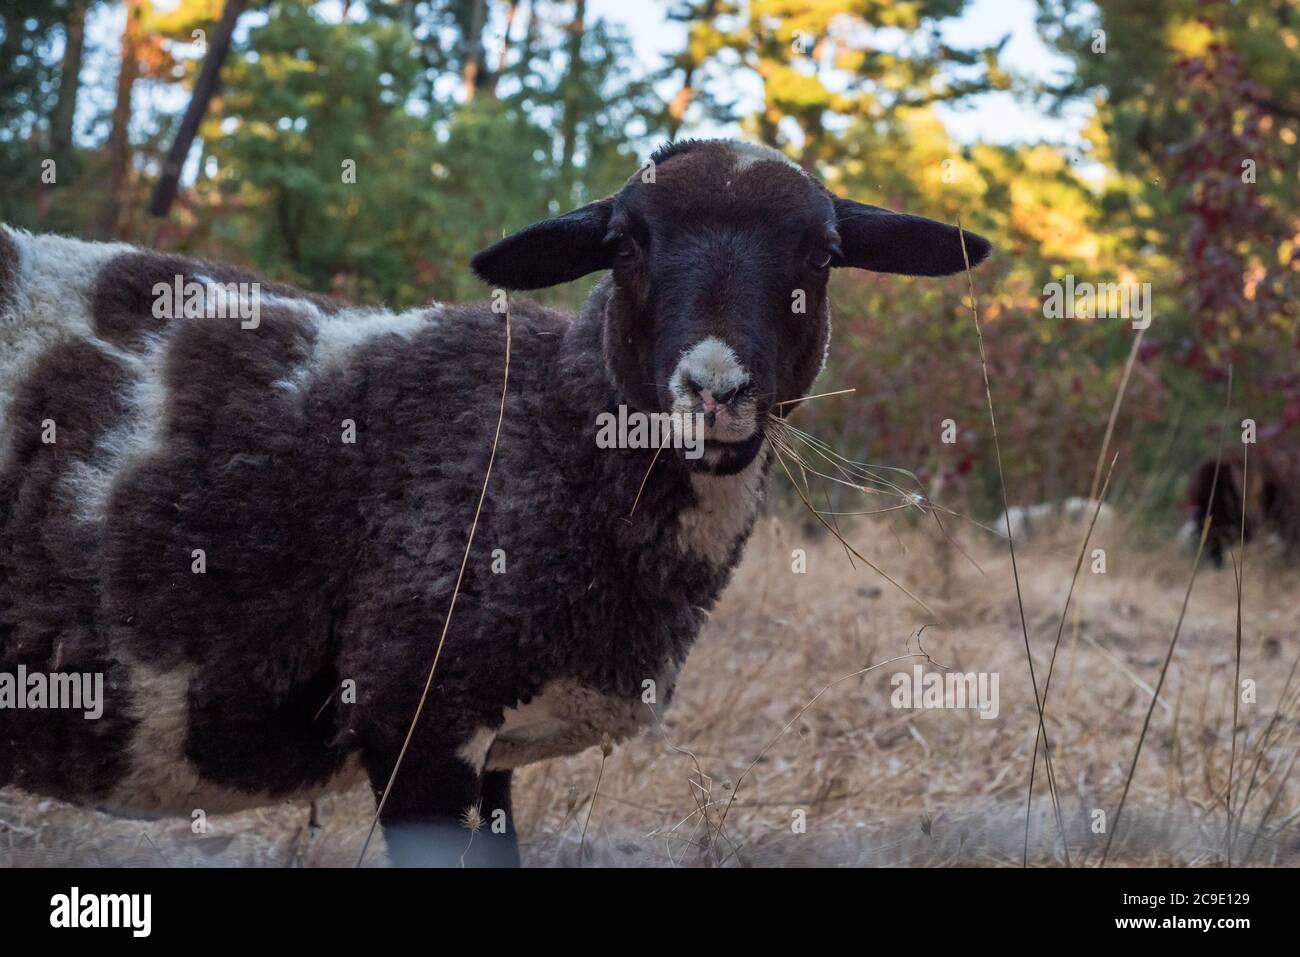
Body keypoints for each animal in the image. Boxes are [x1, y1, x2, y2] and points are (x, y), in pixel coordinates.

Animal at [0, 140, 987, 868]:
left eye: (823, 254)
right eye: (624, 245)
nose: (714, 392)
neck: (546, 426)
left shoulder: (493, 751)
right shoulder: (414, 712)